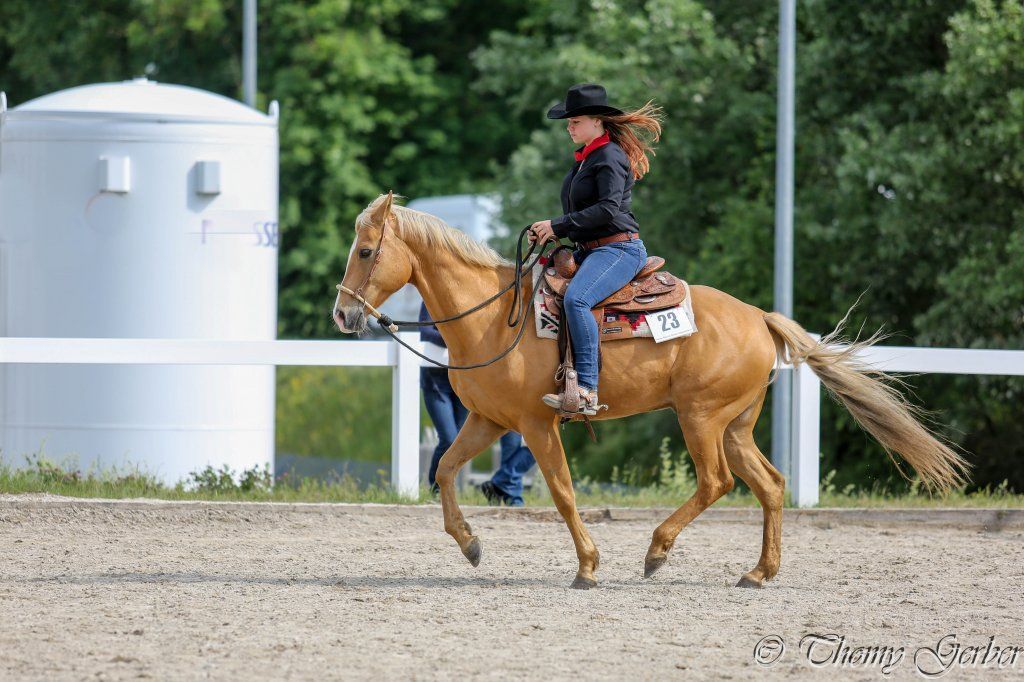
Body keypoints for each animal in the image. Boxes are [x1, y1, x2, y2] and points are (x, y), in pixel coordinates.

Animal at [333, 191, 969, 589]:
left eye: (366, 250)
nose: (343, 314)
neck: (493, 318)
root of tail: (760, 317)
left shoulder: (536, 424)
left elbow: (562, 492)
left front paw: (588, 566)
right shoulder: (488, 421)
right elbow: (444, 469)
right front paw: (470, 545)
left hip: (700, 417)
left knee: (717, 482)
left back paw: (657, 552)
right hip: (734, 424)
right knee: (770, 484)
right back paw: (757, 573)